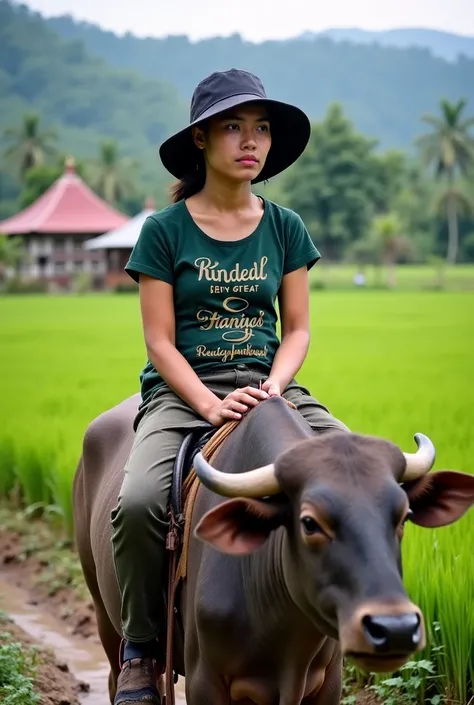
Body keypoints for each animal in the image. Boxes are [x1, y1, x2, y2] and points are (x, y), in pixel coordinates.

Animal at [73, 394, 474, 700]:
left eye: (403, 516)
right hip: (104, 614)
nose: (395, 629)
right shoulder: (205, 682)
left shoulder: (327, 681)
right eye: (309, 522)